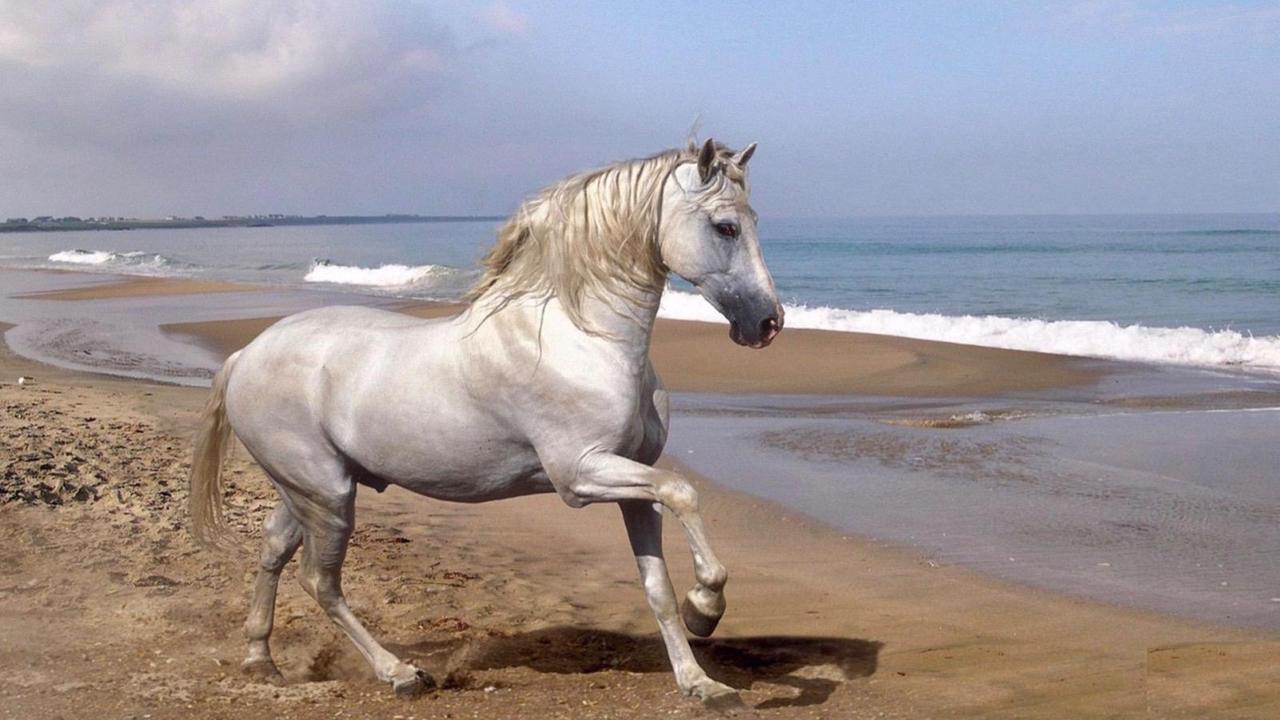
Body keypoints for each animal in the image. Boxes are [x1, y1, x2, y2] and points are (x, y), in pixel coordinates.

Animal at [189, 138, 783, 710]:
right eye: (725, 226)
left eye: (754, 219)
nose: (768, 322)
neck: (582, 337)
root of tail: (246, 355)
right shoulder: (581, 475)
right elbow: (685, 493)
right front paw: (705, 608)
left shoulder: (634, 483)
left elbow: (657, 585)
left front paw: (702, 683)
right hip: (328, 494)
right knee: (320, 581)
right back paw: (401, 674)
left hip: (308, 490)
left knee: (273, 549)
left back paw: (261, 659)